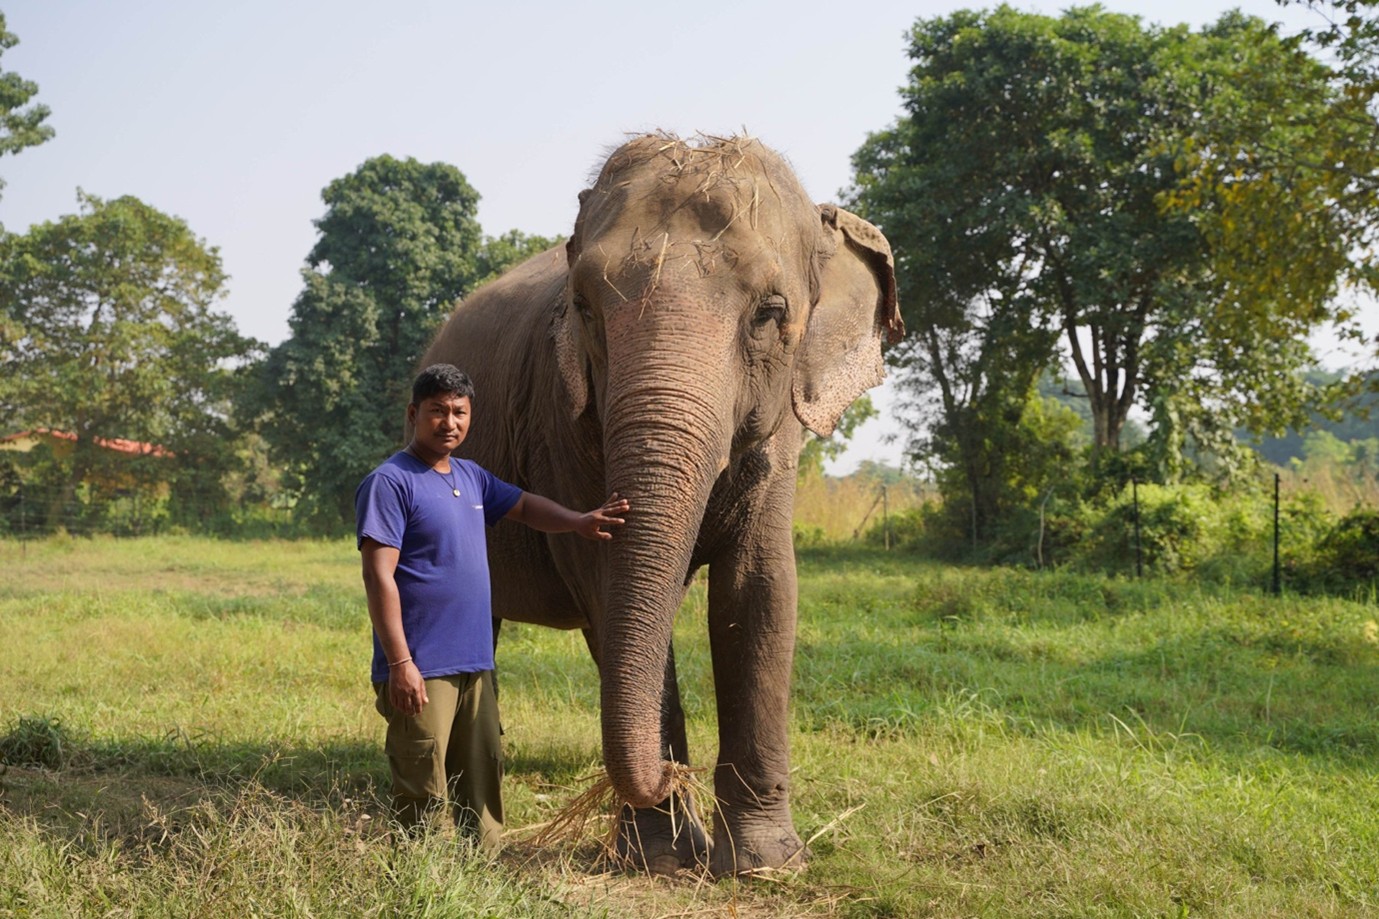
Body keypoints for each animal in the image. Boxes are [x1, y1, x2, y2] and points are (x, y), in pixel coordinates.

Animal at [418, 133, 902, 876]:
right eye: (585, 308)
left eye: (770, 313)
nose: (670, 776)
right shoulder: (559, 421)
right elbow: (605, 585)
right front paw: (663, 857)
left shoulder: (780, 442)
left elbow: (759, 592)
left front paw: (765, 862)